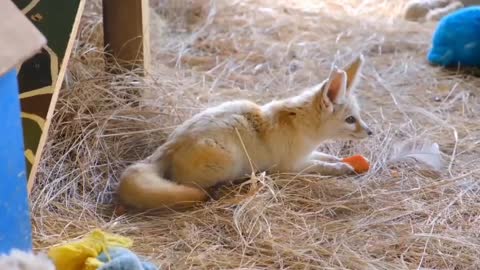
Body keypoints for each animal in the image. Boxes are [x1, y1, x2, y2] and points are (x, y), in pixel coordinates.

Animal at [118, 54, 374, 210]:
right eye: (351, 120)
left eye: (358, 116)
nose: (370, 132)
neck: (299, 123)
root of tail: (168, 146)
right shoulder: (291, 167)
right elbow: (323, 166)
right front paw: (342, 168)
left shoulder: (307, 154)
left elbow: (327, 157)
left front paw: (343, 161)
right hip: (228, 161)